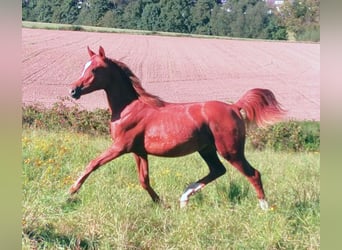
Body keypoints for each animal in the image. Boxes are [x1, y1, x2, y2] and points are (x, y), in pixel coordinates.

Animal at [68, 46, 284, 209]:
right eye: (84, 66)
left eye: (95, 69)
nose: (73, 91)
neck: (129, 109)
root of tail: (234, 107)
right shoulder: (139, 151)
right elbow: (144, 180)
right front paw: (162, 204)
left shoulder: (120, 146)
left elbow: (93, 163)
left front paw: (70, 191)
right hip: (207, 149)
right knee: (218, 170)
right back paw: (184, 198)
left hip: (230, 150)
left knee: (253, 174)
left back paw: (265, 208)